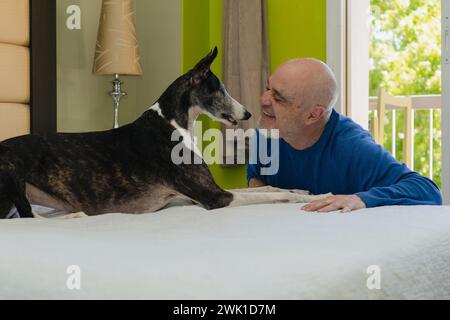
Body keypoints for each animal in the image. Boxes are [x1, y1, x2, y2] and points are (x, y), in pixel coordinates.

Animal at [0, 47, 326, 220]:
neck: (172, 123)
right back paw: (75, 215)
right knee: (27, 218)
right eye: (219, 89)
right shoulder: (214, 197)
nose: (246, 114)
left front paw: (303, 191)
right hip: (11, 170)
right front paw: (301, 197)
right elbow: (268, 194)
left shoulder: (198, 194)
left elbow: (266, 187)